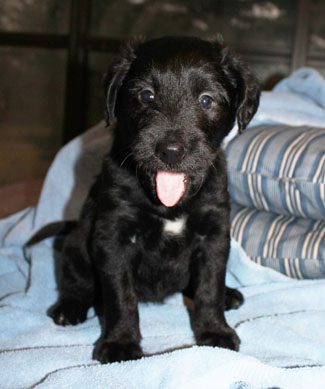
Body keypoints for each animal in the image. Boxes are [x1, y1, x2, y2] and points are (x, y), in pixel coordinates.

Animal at [49, 34, 260, 362]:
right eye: (146, 96)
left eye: (206, 99)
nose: (171, 151)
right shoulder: (113, 236)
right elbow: (121, 297)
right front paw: (120, 344)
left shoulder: (213, 234)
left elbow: (209, 286)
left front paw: (215, 332)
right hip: (75, 244)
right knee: (76, 282)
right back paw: (69, 309)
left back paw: (229, 295)